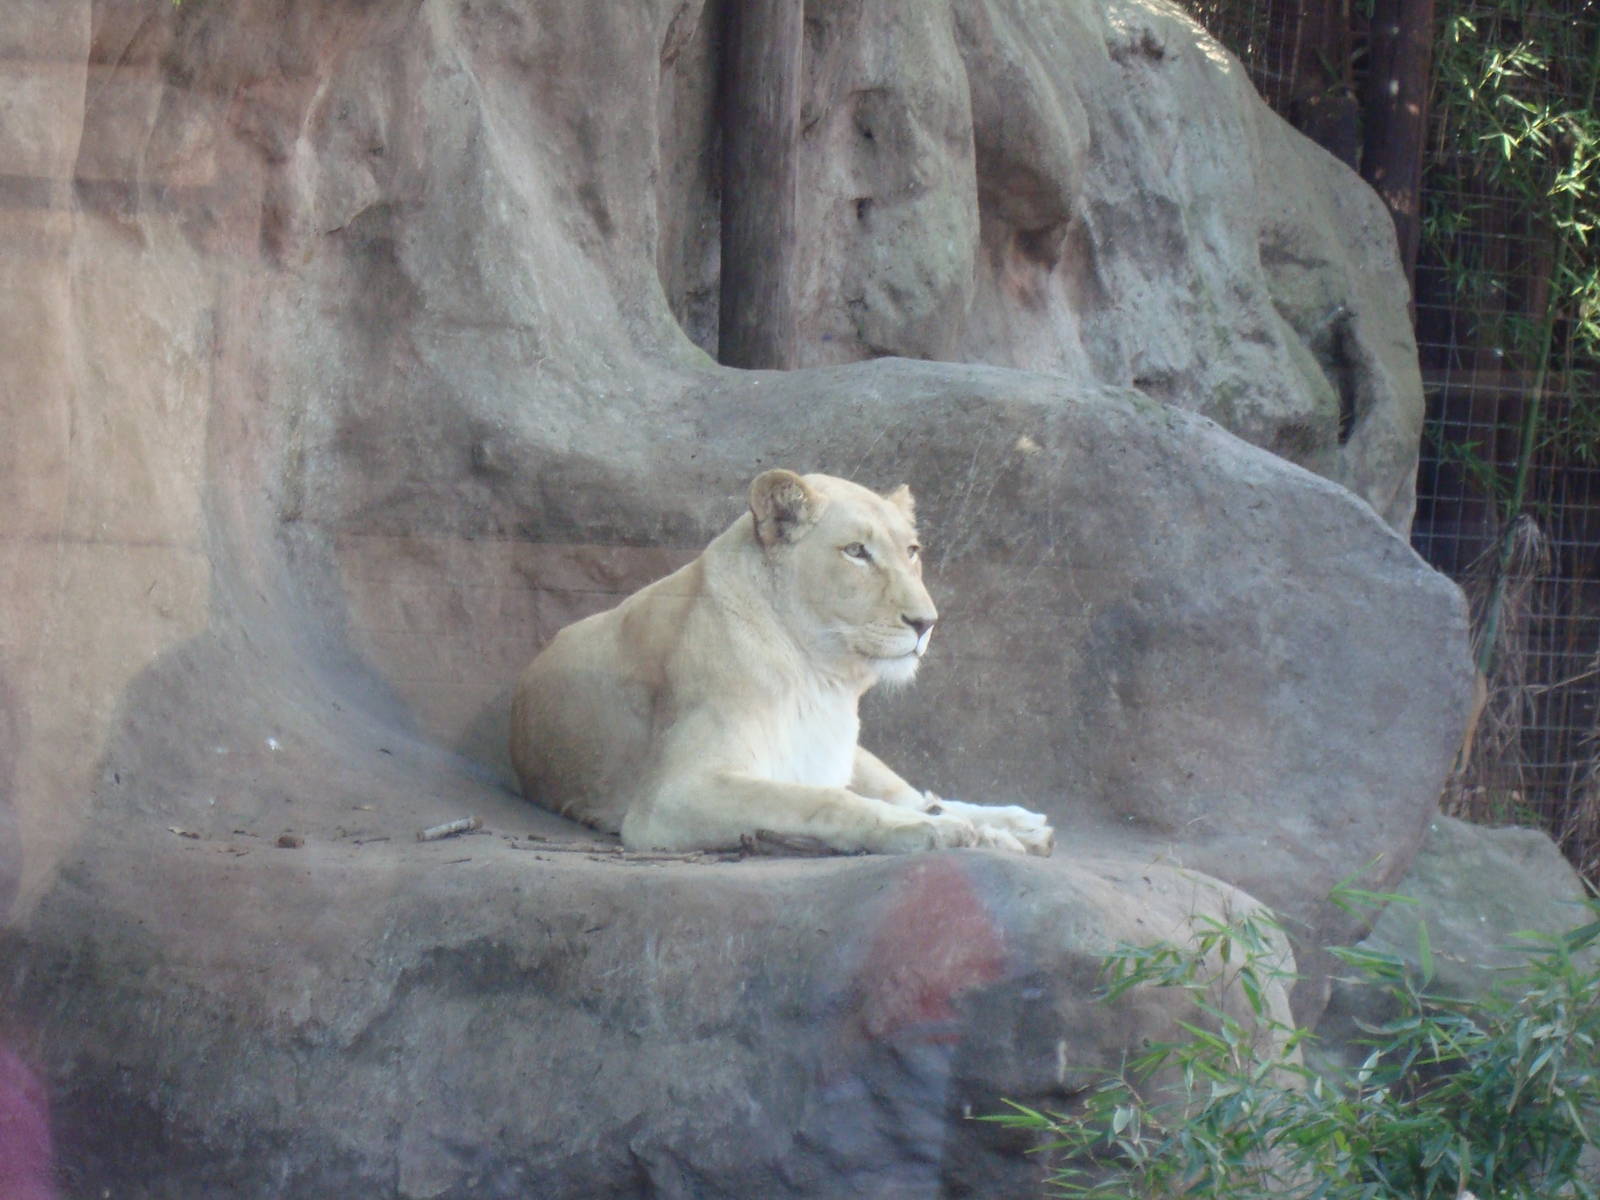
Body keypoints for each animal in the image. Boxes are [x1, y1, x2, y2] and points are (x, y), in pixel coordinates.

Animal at [509, 469, 1054, 856]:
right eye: (856, 551)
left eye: (912, 551)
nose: (926, 622)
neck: (823, 677)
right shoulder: (669, 797)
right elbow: (819, 799)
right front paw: (920, 830)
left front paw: (972, 826)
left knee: (918, 792)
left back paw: (1017, 826)